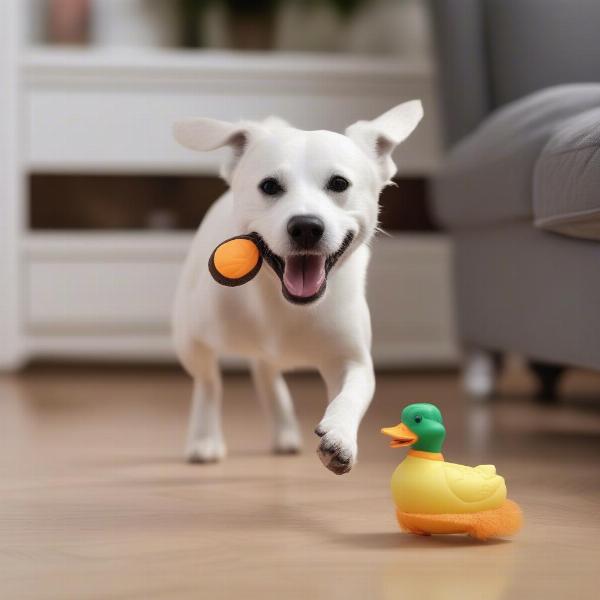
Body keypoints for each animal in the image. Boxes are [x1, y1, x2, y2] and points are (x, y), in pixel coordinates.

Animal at [170, 101, 422, 474]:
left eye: (339, 183)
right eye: (270, 186)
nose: (306, 226)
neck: (283, 303)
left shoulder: (351, 358)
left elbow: (352, 392)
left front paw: (340, 437)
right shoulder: (193, 340)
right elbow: (209, 383)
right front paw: (205, 435)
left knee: (266, 375)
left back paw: (285, 428)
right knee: (228, 378)